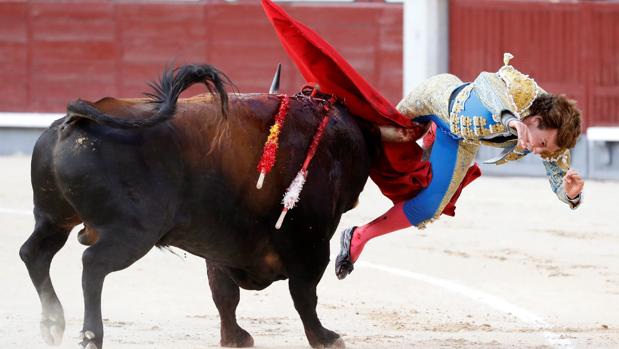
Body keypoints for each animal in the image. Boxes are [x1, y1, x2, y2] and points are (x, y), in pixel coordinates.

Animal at [19, 64, 378, 348]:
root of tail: (76, 119)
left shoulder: (219, 246)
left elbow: (224, 294)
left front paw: (234, 338)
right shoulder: (309, 242)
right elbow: (303, 294)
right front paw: (326, 338)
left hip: (53, 216)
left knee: (34, 252)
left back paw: (52, 323)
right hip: (132, 234)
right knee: (92, 264)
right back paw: (91, 335)